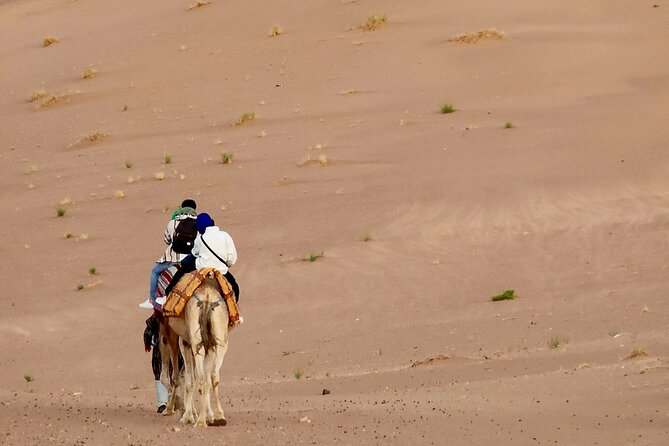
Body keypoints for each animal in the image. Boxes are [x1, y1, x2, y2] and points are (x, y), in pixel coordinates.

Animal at [160, 278, 230, 426]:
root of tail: (207, 298)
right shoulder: (208, 345)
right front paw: (209, 416)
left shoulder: (183, 342)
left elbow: (185, 379)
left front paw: (185, 414)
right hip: (220, 342)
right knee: (213, 376)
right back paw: (219, 417)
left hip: (195, 342)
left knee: (200, 378)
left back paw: (200, 421)